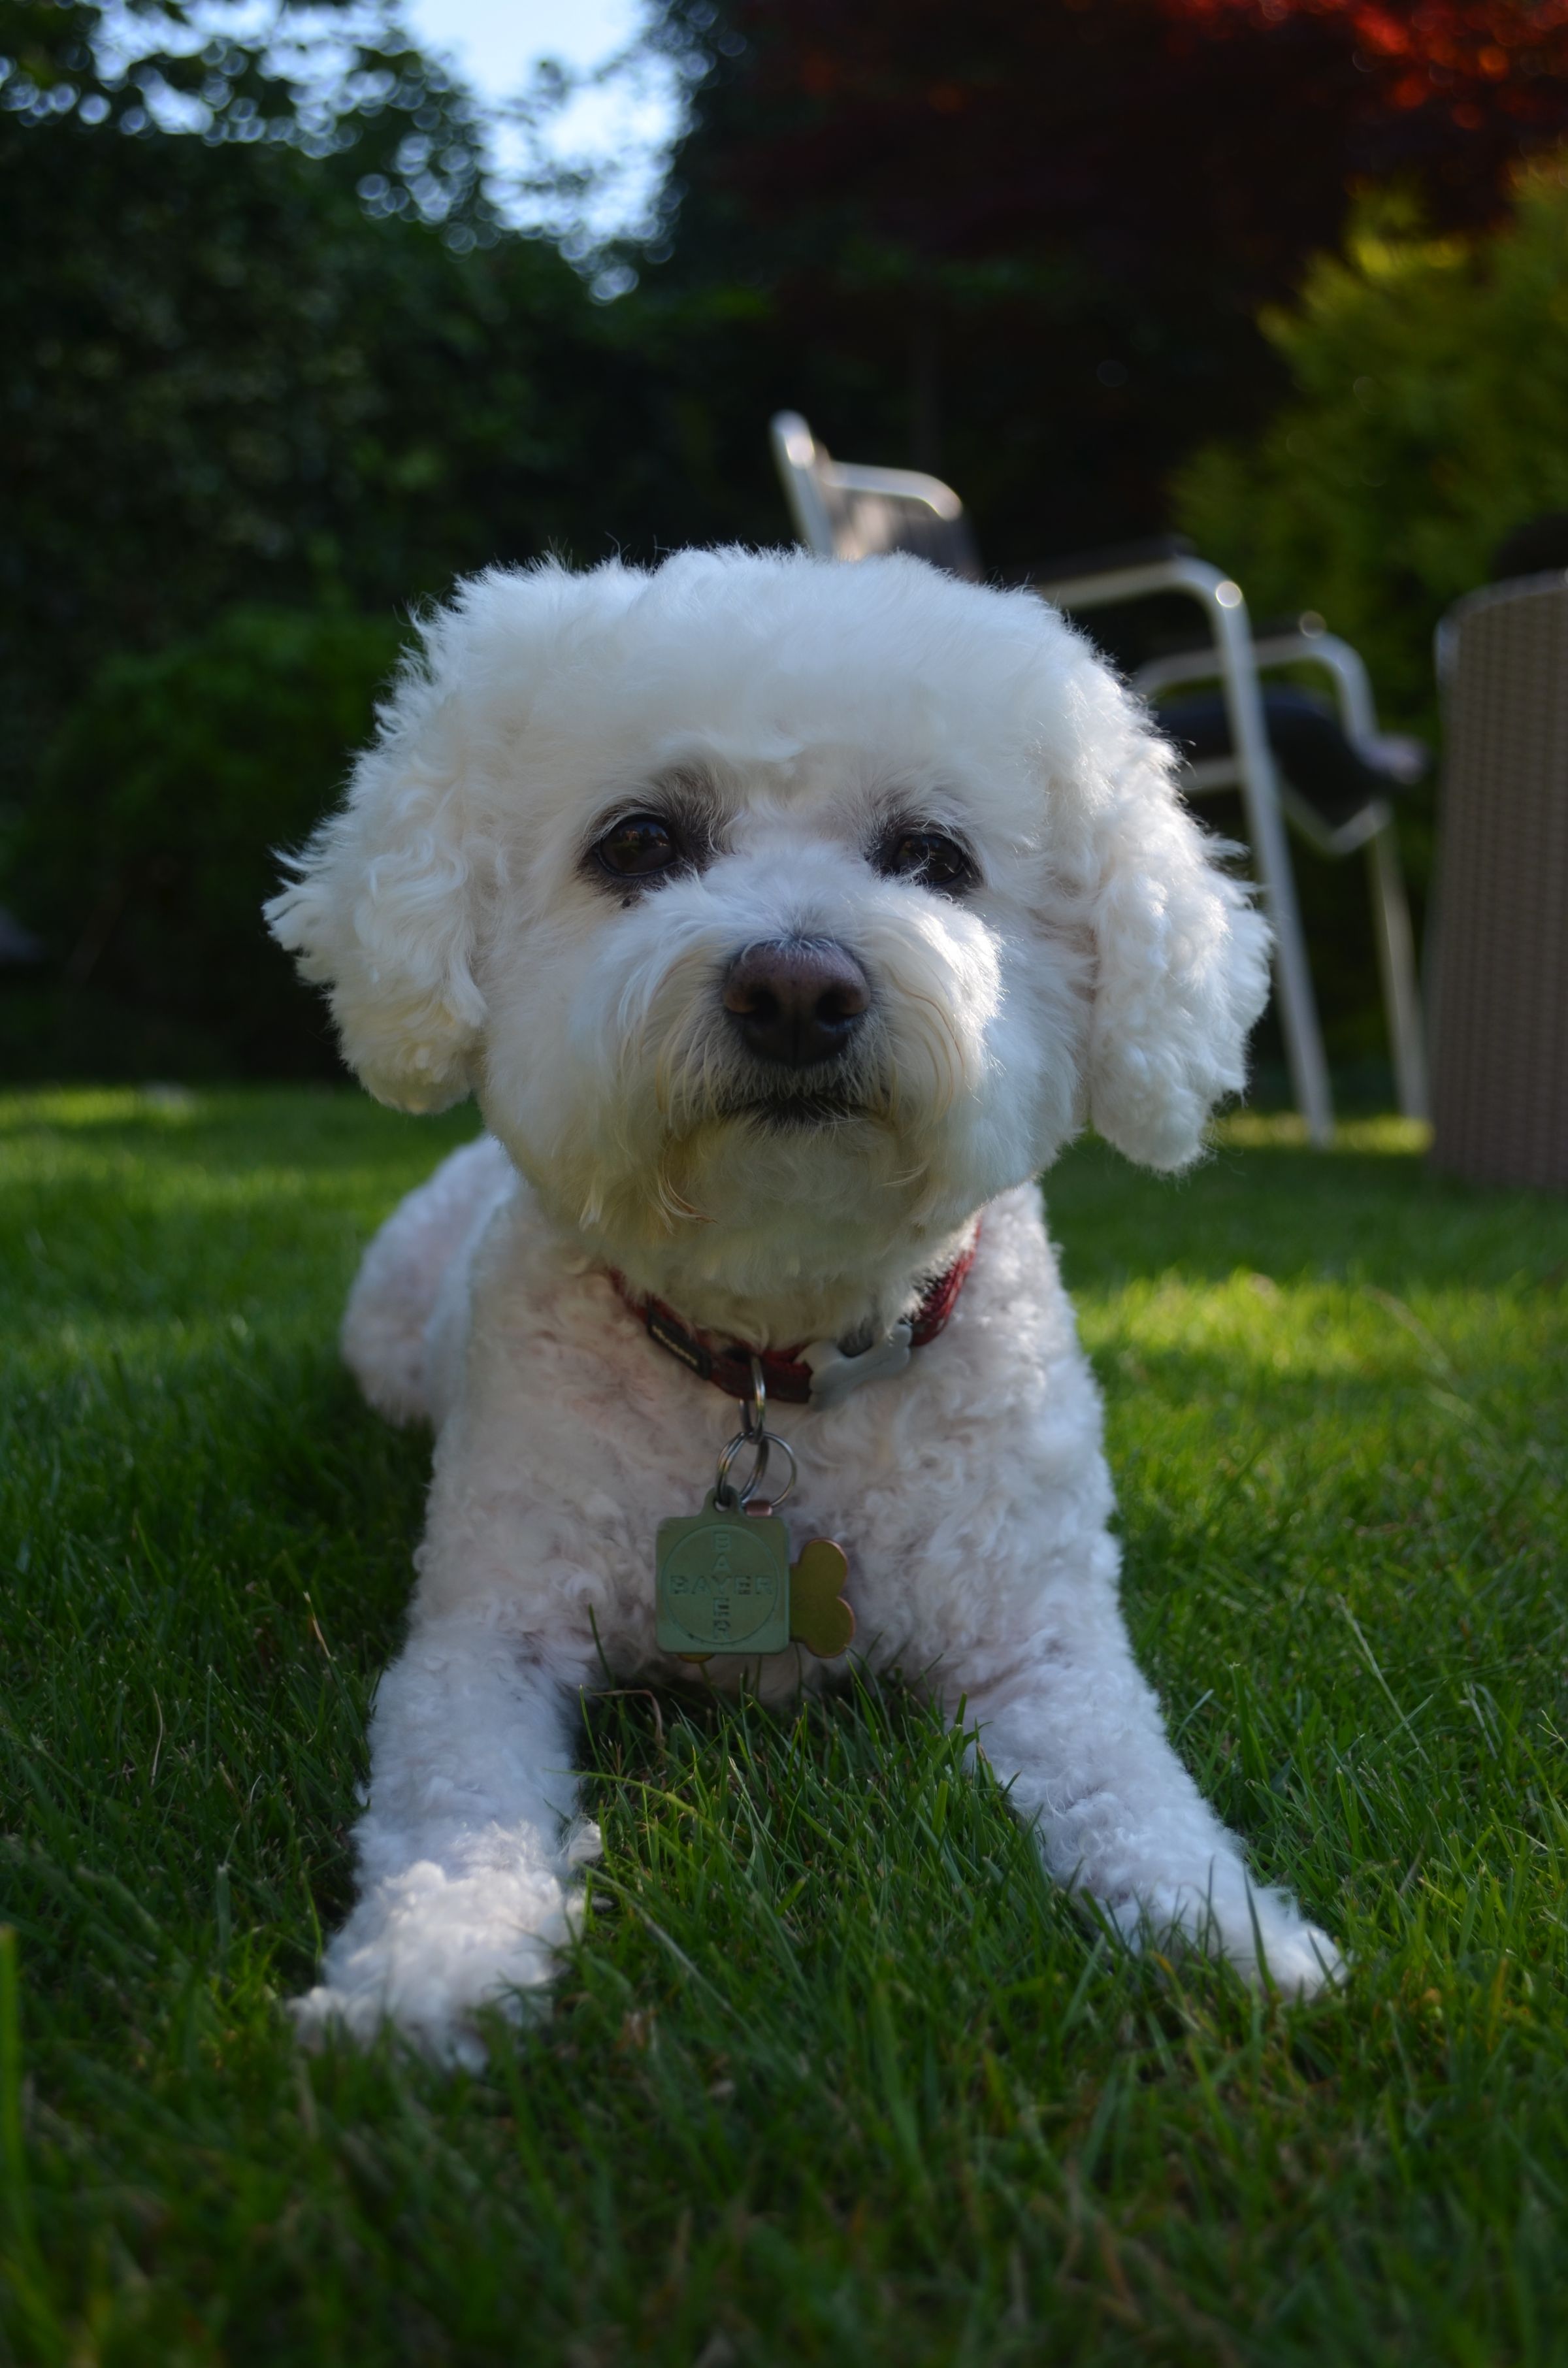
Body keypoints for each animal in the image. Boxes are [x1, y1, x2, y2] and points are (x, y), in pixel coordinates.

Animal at [264, 544, 1345, 2065]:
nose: (795, 985)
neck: (780, 1356)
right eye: (639, 844)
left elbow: (1133, 1791)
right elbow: (454, 1809)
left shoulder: (1047, 1657)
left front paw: (1228, 1929)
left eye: (937, 858)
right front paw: (430, 1965)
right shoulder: (481, 1641)